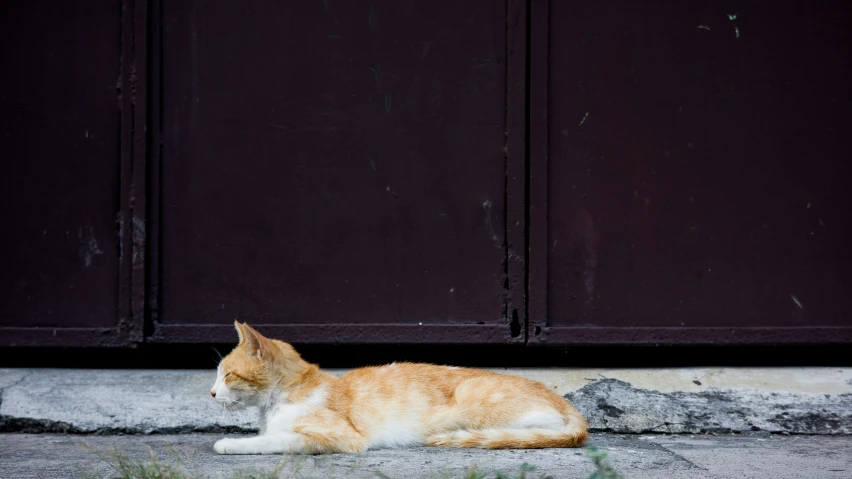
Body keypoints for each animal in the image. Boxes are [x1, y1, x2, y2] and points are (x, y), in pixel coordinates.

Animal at [210, 322, 588, 454]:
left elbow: (274, 440)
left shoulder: (339, 437)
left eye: (227, 375)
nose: (211, 394)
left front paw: (229, 443)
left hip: (477, 402)